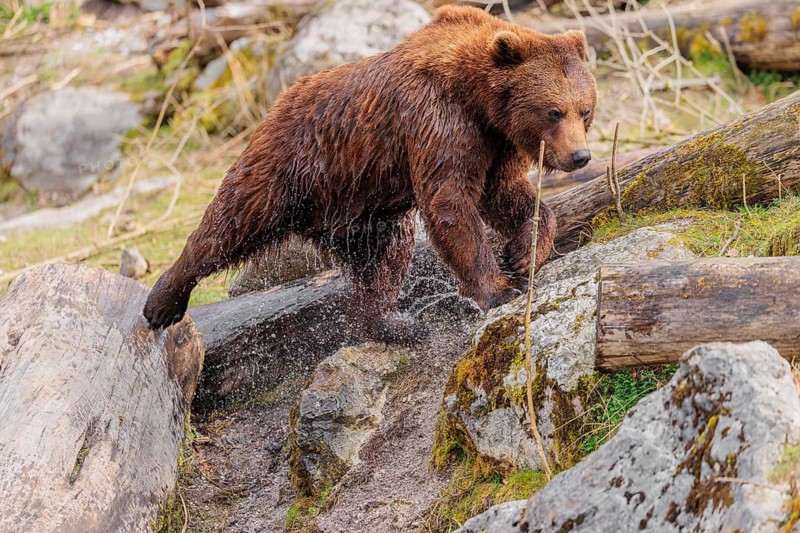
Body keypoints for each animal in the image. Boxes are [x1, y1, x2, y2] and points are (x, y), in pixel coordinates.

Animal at [144, 5, 597, 343]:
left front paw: (523, 252)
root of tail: (274, 107)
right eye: (553, 111)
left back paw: (388, 322)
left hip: (362, 205)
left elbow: (504, 195)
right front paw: (499, 288)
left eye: (585, 110)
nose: (579, 156)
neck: (478, 99)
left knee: (385, 256)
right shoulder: (437, 122)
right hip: (288, 166)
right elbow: (451, 203)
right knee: (230, 224)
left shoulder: (496, 142)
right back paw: (162, 302)